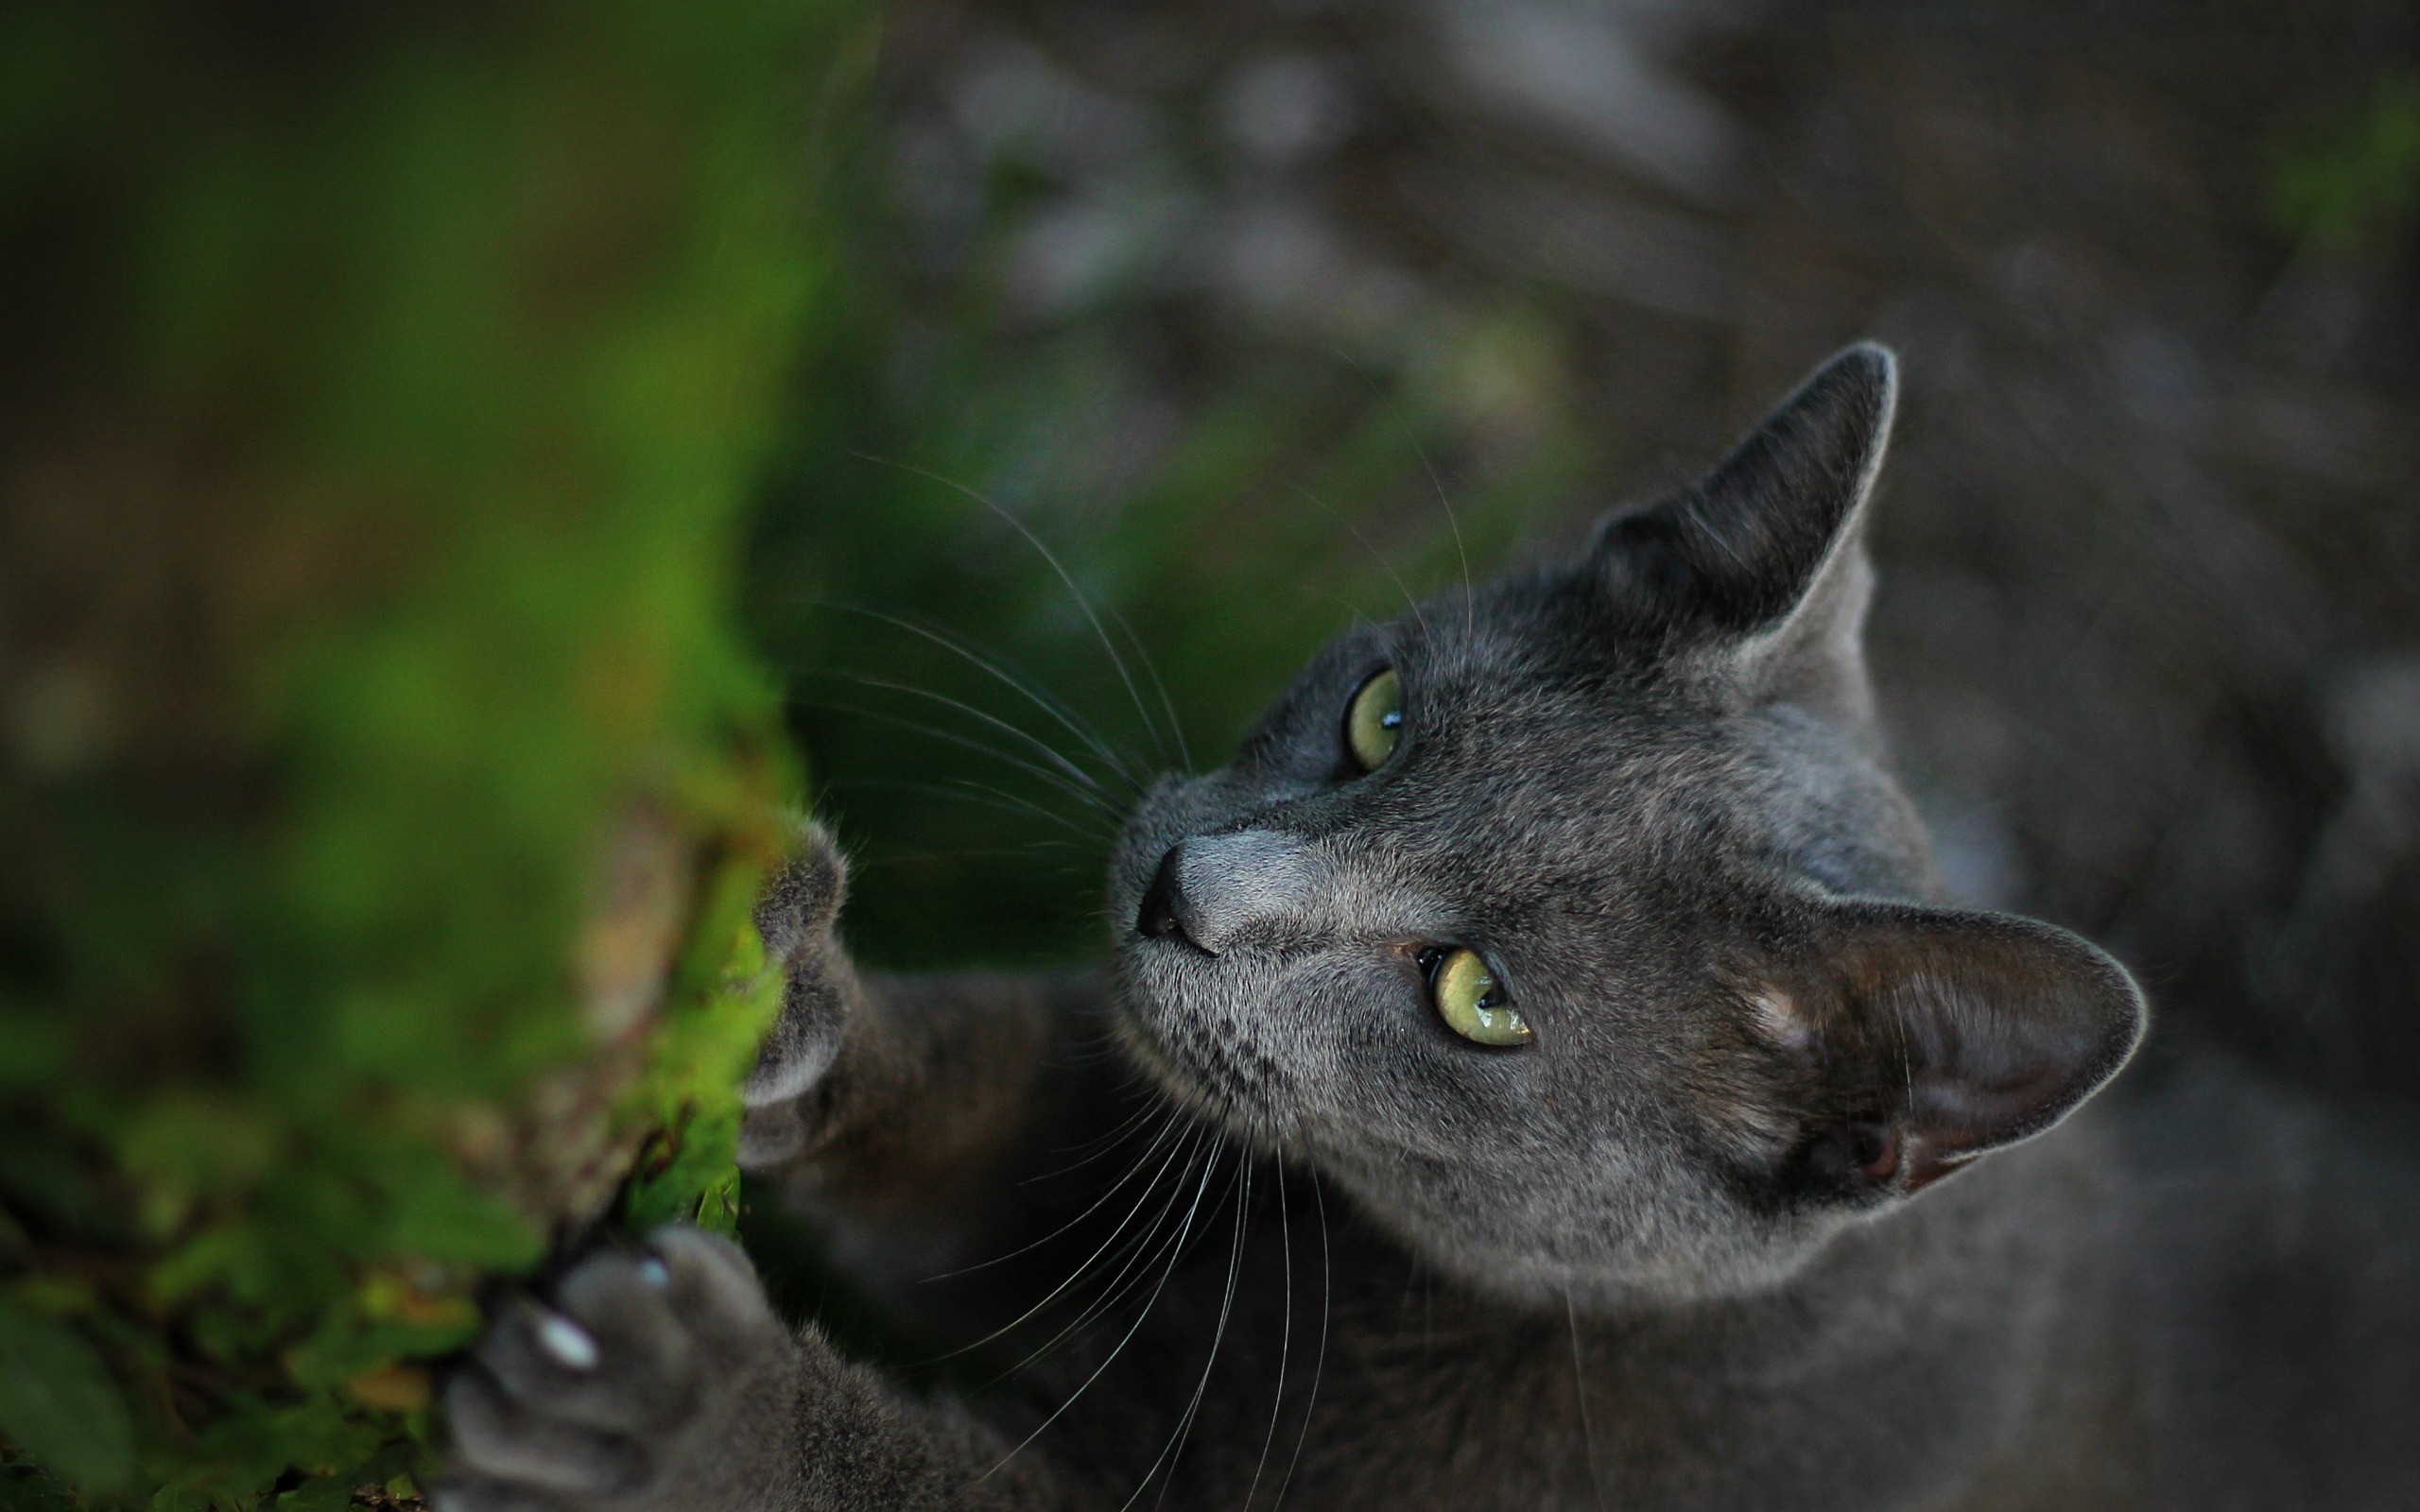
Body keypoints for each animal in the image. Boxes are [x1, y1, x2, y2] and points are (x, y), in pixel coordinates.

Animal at [435, 348, 2420, 1509]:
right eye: (1383, 717)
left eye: (1478, 998)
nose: (1188, 889)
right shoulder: (1123, 1163)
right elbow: (973, 1111)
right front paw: (758, 960)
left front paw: (660, 1400)